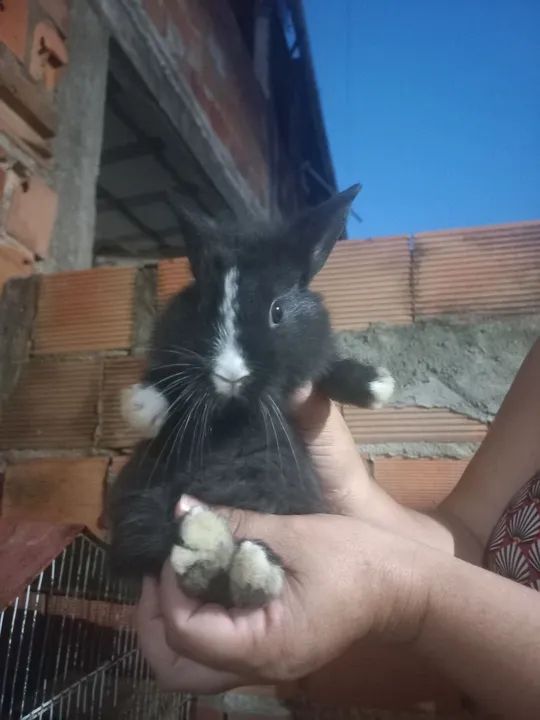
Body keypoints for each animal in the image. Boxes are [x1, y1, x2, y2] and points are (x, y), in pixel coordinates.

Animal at [107, 185, 394, 608]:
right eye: (202, 307)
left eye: (277, 311)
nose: (231, 375)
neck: (234, 413)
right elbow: (167, 375)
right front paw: (143, 404)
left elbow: (328, 370)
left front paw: (376, 385)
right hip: (141, 511)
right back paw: (207, 546)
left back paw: (248, 563)